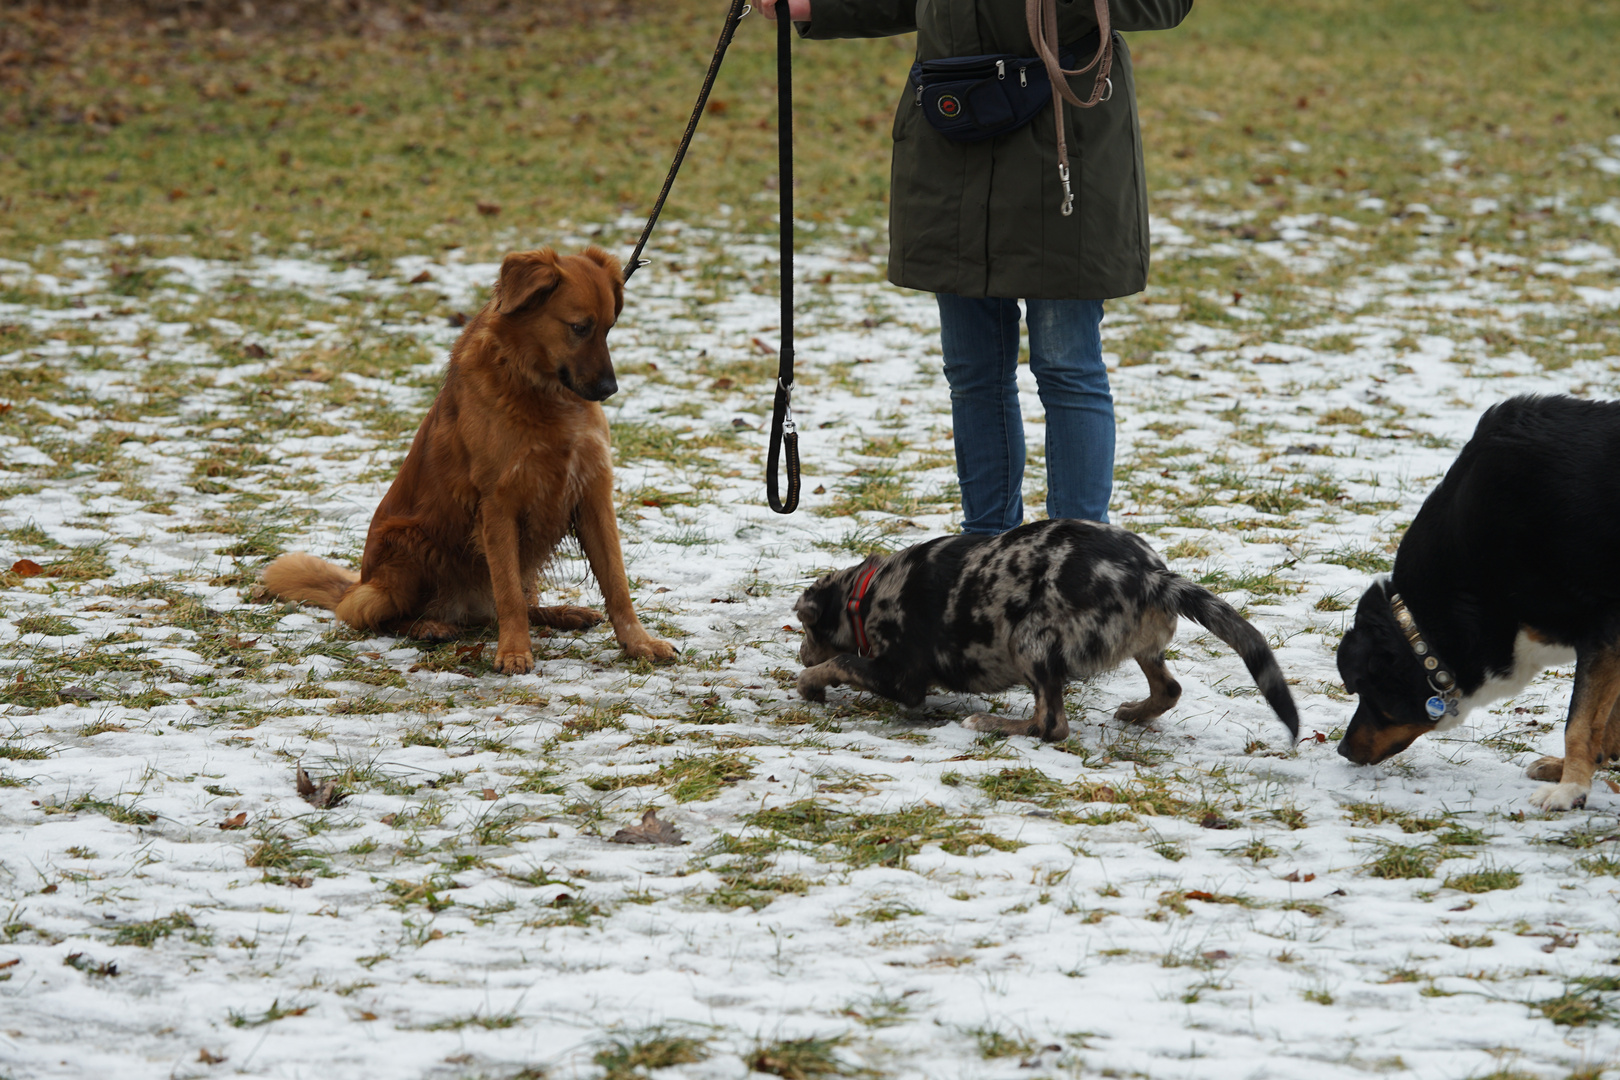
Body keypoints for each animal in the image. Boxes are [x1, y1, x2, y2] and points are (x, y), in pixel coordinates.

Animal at [260, 247, 677, 676]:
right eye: (579, 328)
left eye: (608, 329)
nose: (610, 389)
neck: (539, 390)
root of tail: (360, 581)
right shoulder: (498, 505)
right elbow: (508, 594)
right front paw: (513, 651)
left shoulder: (592, 495)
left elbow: (617, 584)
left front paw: (639, 643)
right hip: (408, 545)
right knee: (374, 615)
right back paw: (428, 625)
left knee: (522, 604)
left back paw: (562, 613)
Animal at [790, 518, 1296, 744]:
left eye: (805, 629)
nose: (800, 654)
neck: (866, 594)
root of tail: (1153, 576)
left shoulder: (901, 677)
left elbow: (843, 661)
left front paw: (809, 682)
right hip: (1143, 646)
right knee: (1168, 689)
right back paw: (1134, 714)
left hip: (1028, 640)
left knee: (1051, 724)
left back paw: (991, 723)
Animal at [1334, 395, 1620, 809]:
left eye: (1361, 688)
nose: (1342, 749)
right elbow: (1605, 720)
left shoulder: (1602, 627)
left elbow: (1579, 724)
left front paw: (1570, 789)